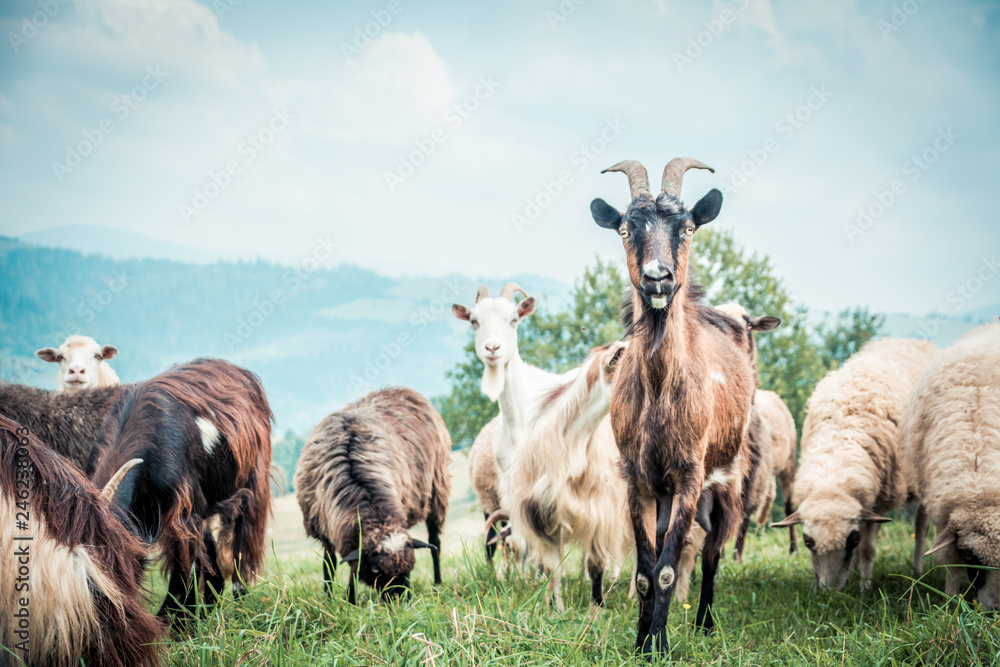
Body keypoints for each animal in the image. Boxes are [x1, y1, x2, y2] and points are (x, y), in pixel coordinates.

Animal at [85, 358, 273, 620]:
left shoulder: (184, 509)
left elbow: (184, 569)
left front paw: (176, 622)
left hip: (254, 484)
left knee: (241, 547)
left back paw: (239, 604)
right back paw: (210, 609)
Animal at [294, 387, 451, 603]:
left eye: (410, 567)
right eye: (376, 569)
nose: (400, 601)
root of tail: (400, 389)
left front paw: (349, 600)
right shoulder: (327, 529)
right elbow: (331, 565)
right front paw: (335, 600)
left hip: (437, 492)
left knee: (435, 542)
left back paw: (437, 584)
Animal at [506, 341, 632, 611]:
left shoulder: (600, 512)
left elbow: (596, 566)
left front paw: (597, 608)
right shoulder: (541, 515)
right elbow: (552, 570)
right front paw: (555, 610)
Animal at [590, 157, 756, 656]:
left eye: (687, 227)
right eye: (625, 228)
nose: (658, 277)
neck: (662, 392)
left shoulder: (689, 474)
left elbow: (666, 569)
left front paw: (659, 646)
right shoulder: (638, 478)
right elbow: (646, 570)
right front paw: (641, 639)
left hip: (727, 481)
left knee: (711, 554)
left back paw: (704, 623)